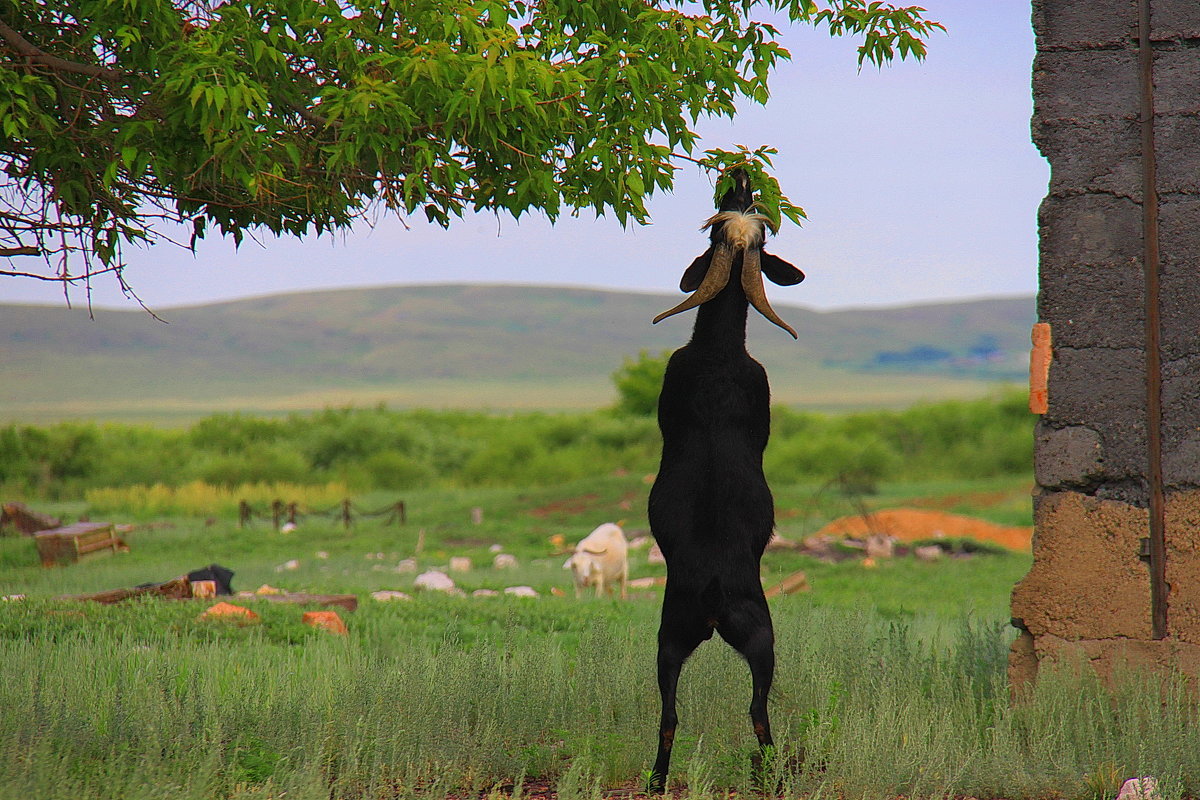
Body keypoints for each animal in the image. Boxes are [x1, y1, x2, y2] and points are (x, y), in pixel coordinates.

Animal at [643, 170, 801, 796]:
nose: (740, 177)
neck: (718, 353)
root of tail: (711, 593)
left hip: (676, 635)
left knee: (679, 714)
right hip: (748, 636)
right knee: (747, 711)